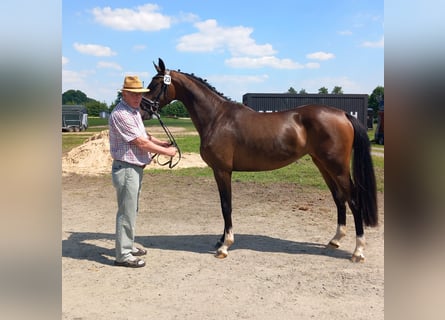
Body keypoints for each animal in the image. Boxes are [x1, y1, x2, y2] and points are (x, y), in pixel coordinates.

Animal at [140, 58, 376, 262]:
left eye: (156, 84)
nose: (143, 111)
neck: (217, 117)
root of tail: (343, 114)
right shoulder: (220, 172)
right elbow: (224, 205)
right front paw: (220, 240)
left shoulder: (222, 171)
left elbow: (226, 205)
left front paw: (225, 246)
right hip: (323, 165)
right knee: (339, 198)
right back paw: (335, 240)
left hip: (337, 167)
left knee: (354, 201)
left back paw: (358, 251)